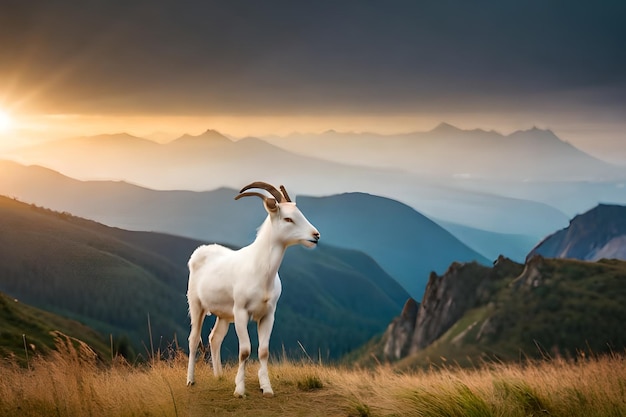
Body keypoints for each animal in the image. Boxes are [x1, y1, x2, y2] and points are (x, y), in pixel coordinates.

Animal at [184, 180, 320, 394]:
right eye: (288, 219)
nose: (316, 235)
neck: (260, 271)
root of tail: (198, 253)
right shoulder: (241, 312)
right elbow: (245, 351)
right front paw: (240, 390)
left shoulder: (268, 314)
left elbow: (263, 351)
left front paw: (266, 388)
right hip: (197, 306)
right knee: (193, 339)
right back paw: (190, 380)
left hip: (224, 315)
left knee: (215, 338)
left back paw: (219, 376)